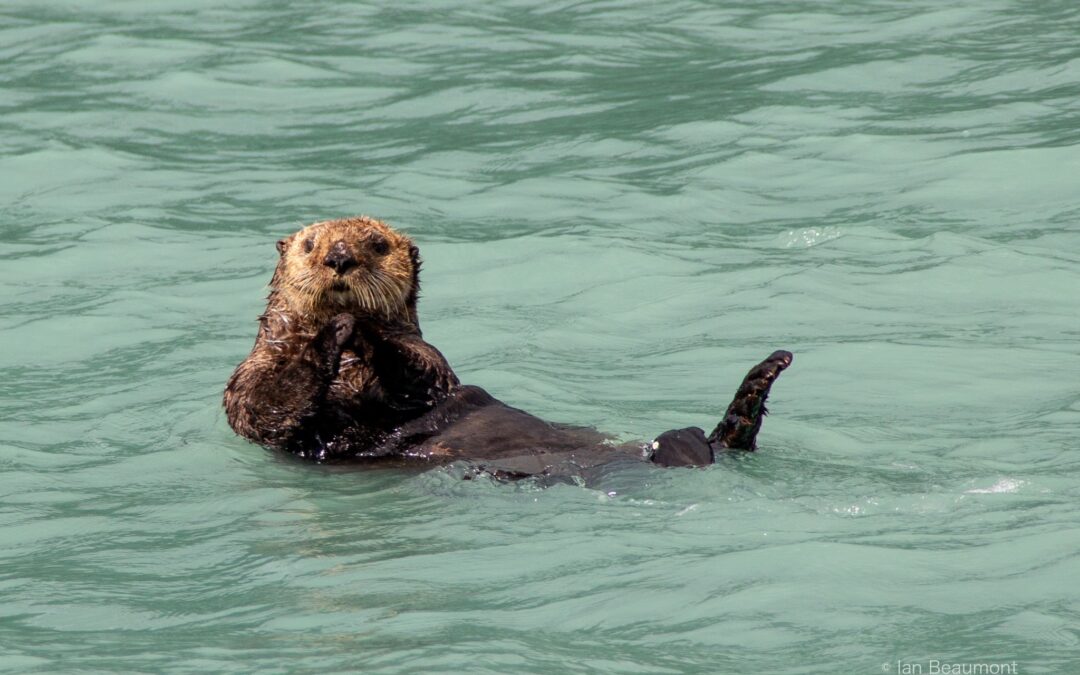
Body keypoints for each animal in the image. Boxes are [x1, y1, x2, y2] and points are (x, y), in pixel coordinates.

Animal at [224, 216, 792, 477]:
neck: (350, 372)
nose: (339, 258)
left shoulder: (431, 363)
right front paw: (334, 330)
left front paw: (360, 327)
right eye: (309, 244)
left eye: (378, 245)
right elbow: (266, 407)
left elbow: (420, 378)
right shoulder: (254, 376)